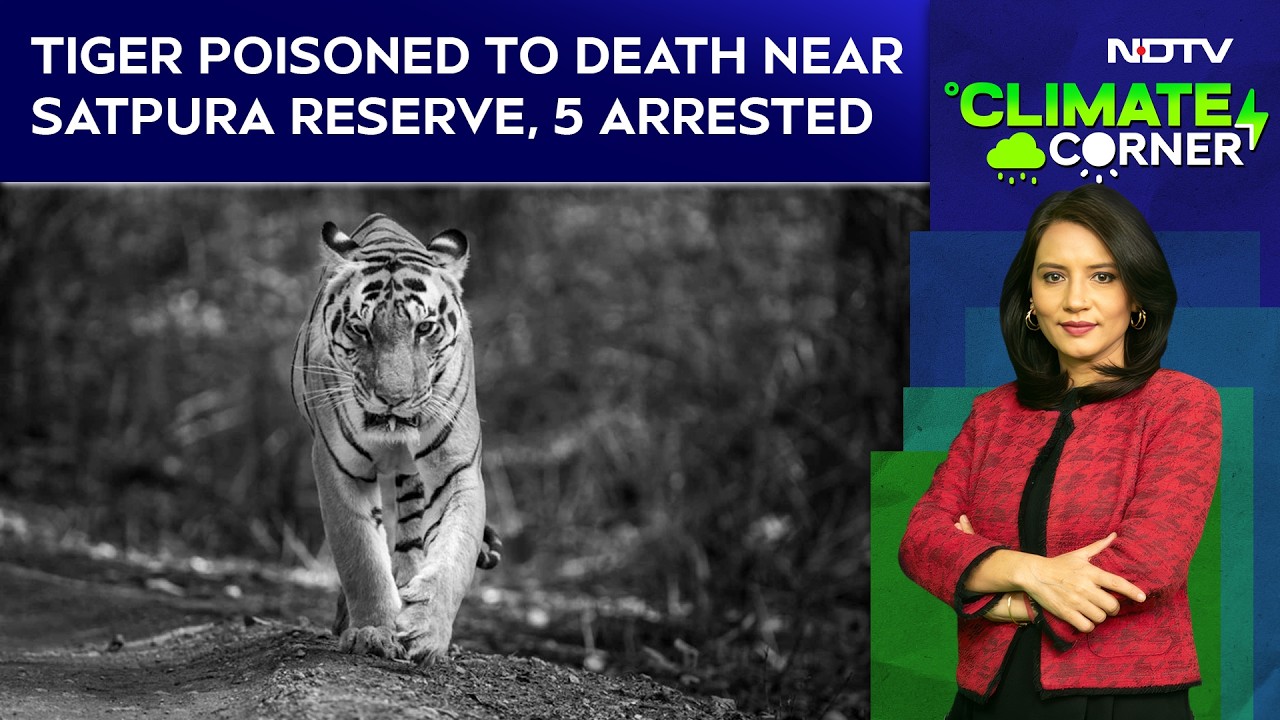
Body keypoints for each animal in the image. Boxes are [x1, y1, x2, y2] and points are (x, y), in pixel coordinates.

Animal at [291, 213, 501, 664]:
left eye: (425, 328)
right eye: (360, 329)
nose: (394, 398)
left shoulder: (457, 469)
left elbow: (453, 556)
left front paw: (426, 631)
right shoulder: (338, 469)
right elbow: (361, 557)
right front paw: (372, 630)